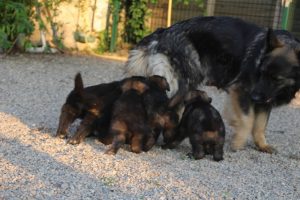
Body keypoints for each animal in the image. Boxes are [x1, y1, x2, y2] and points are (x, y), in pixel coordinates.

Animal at [125, 16, 300, 153]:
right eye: (261, 72)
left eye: (276, 78)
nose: (255, 97)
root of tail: (164, 31)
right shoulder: (242, 91)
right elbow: (248, 119)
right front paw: (238, 142)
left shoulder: (265, 100)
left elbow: (260, 125)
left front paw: (262, 145)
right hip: (183, 81)